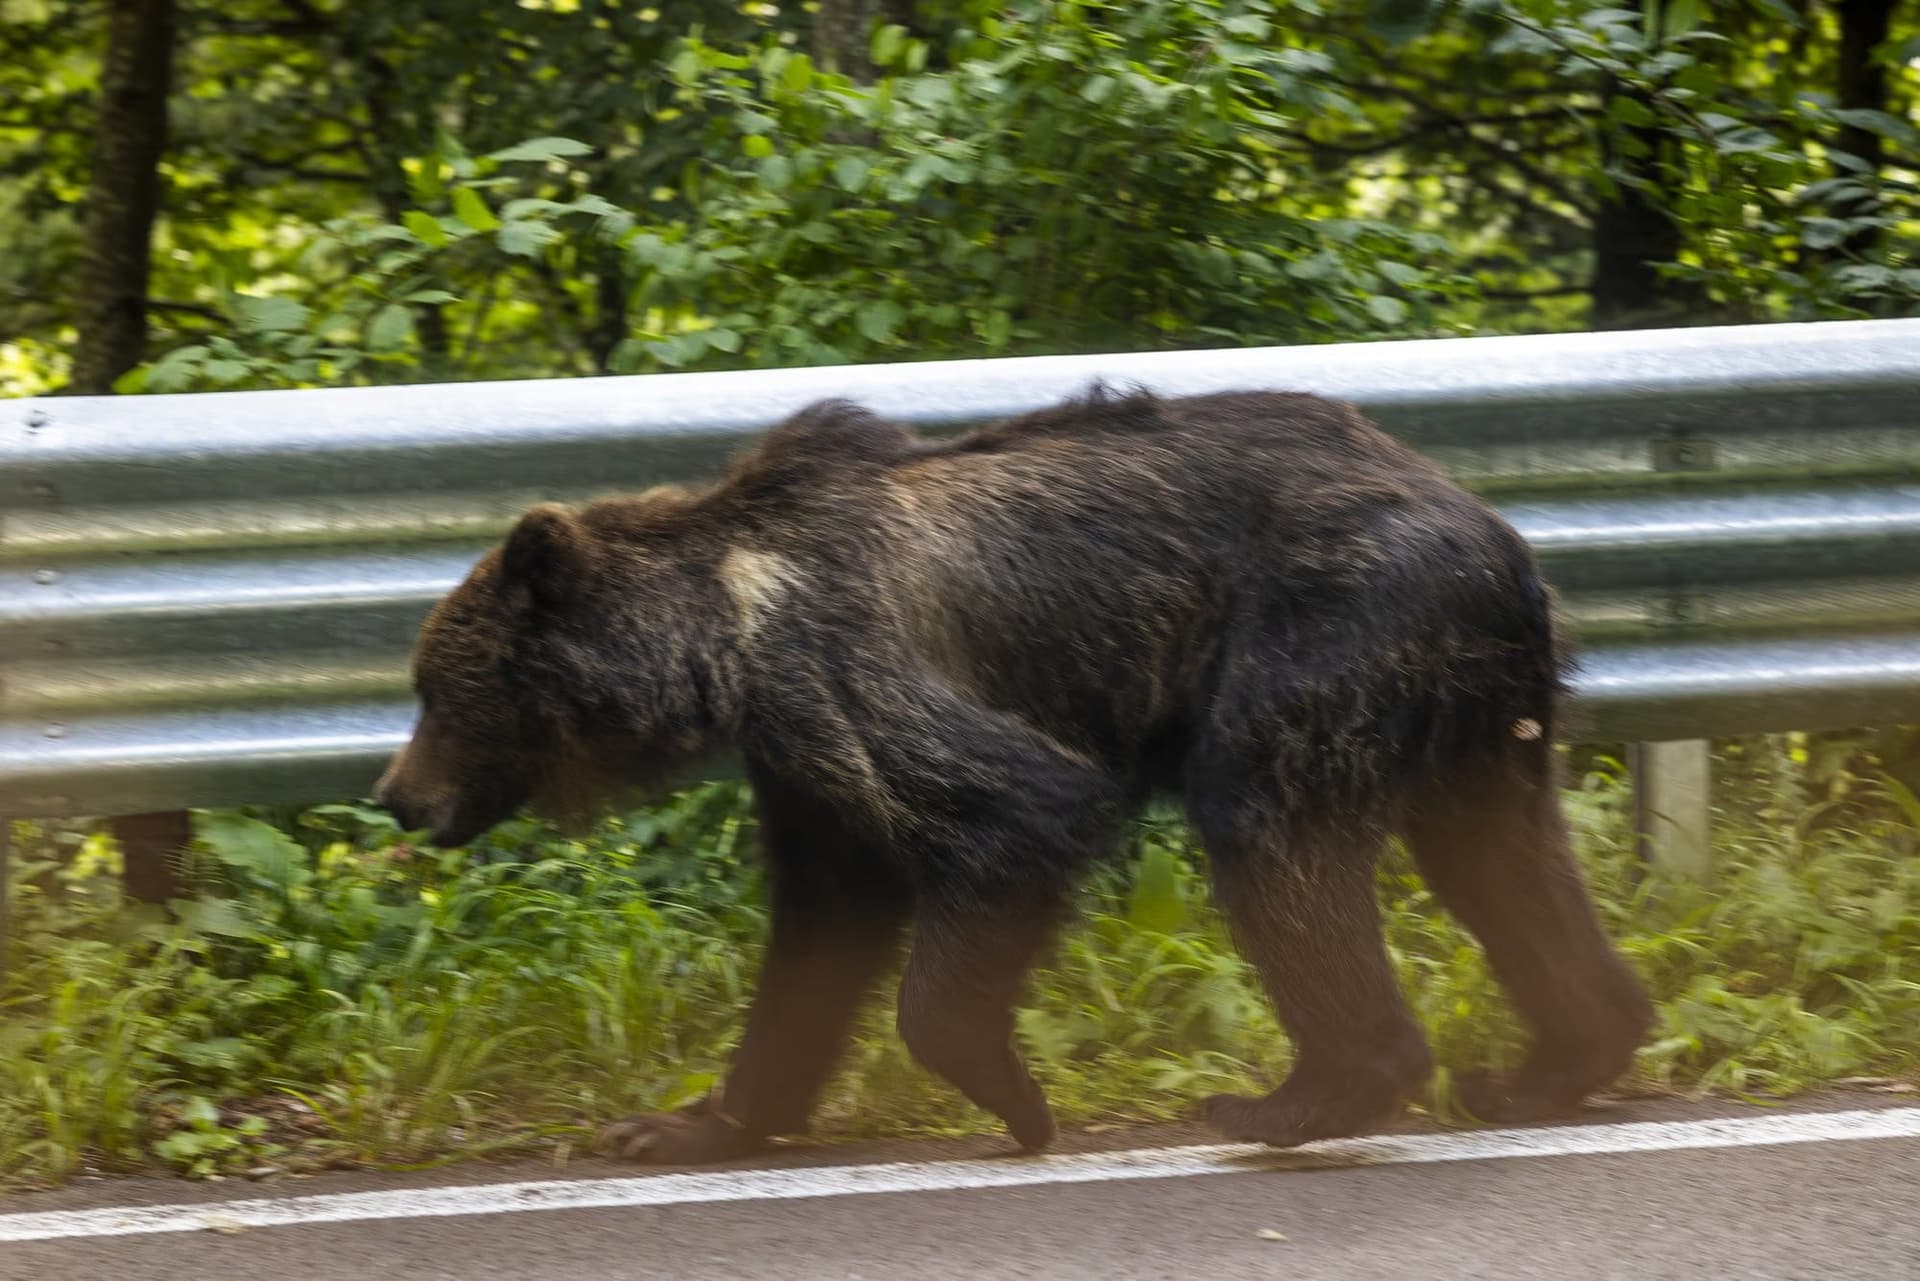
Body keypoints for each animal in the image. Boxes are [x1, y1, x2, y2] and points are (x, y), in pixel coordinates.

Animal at [374, 386, 1654, 1164]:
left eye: (439, 693)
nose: (398, 795)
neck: (717, 644)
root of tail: (1501, 534)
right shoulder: (801, 758)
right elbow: (820, 929)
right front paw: (688, 1121)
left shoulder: (839, 669)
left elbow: (1011, 814)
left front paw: (1015, 1096)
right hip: (1478, 707)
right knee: (1503, 858)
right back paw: (1545, 1067)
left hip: (1330, 629)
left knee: (1269, 823)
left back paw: (1300, 1093)